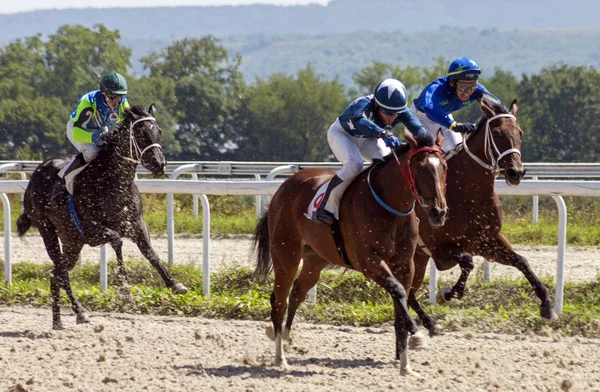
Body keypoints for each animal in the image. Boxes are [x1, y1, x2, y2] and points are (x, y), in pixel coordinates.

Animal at [15, 102, 188, 330]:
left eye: (158, 132)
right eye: (141, 134)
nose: (159, 165)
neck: (112, 182)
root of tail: (35, 175)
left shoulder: (136, 225)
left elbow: (151, 253)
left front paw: (175, 284)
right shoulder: (90, 231)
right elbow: (117, 241)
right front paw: (124, 288)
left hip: (72, 240)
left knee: (56, 274)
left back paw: (59, 321)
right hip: (48, 230)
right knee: (60, 272)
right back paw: (80, 312)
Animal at [253, 131, 446, 374]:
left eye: (444, 167)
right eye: (419, 169)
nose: (439, 212)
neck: (390, 206)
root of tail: (282, 188)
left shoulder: (405, 264)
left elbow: (400, 301)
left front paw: (405, 364)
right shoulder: (369, 262)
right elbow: (399, 291)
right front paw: (417, 332)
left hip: (315, 259)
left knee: (297, 292)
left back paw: (286, 335)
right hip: (285, 254)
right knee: (279, 300)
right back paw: (280, 358)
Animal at [410, 93, 560, 336]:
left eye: (520, 132)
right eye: (497, 134)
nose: (516, 172)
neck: (466, 193)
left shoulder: (487, 241)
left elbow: (522, 261)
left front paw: (547, 306)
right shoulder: (439, 248)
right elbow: (468, 262)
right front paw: (447, 294)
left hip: (418, 257)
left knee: (408, 291)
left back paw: (427, 324)